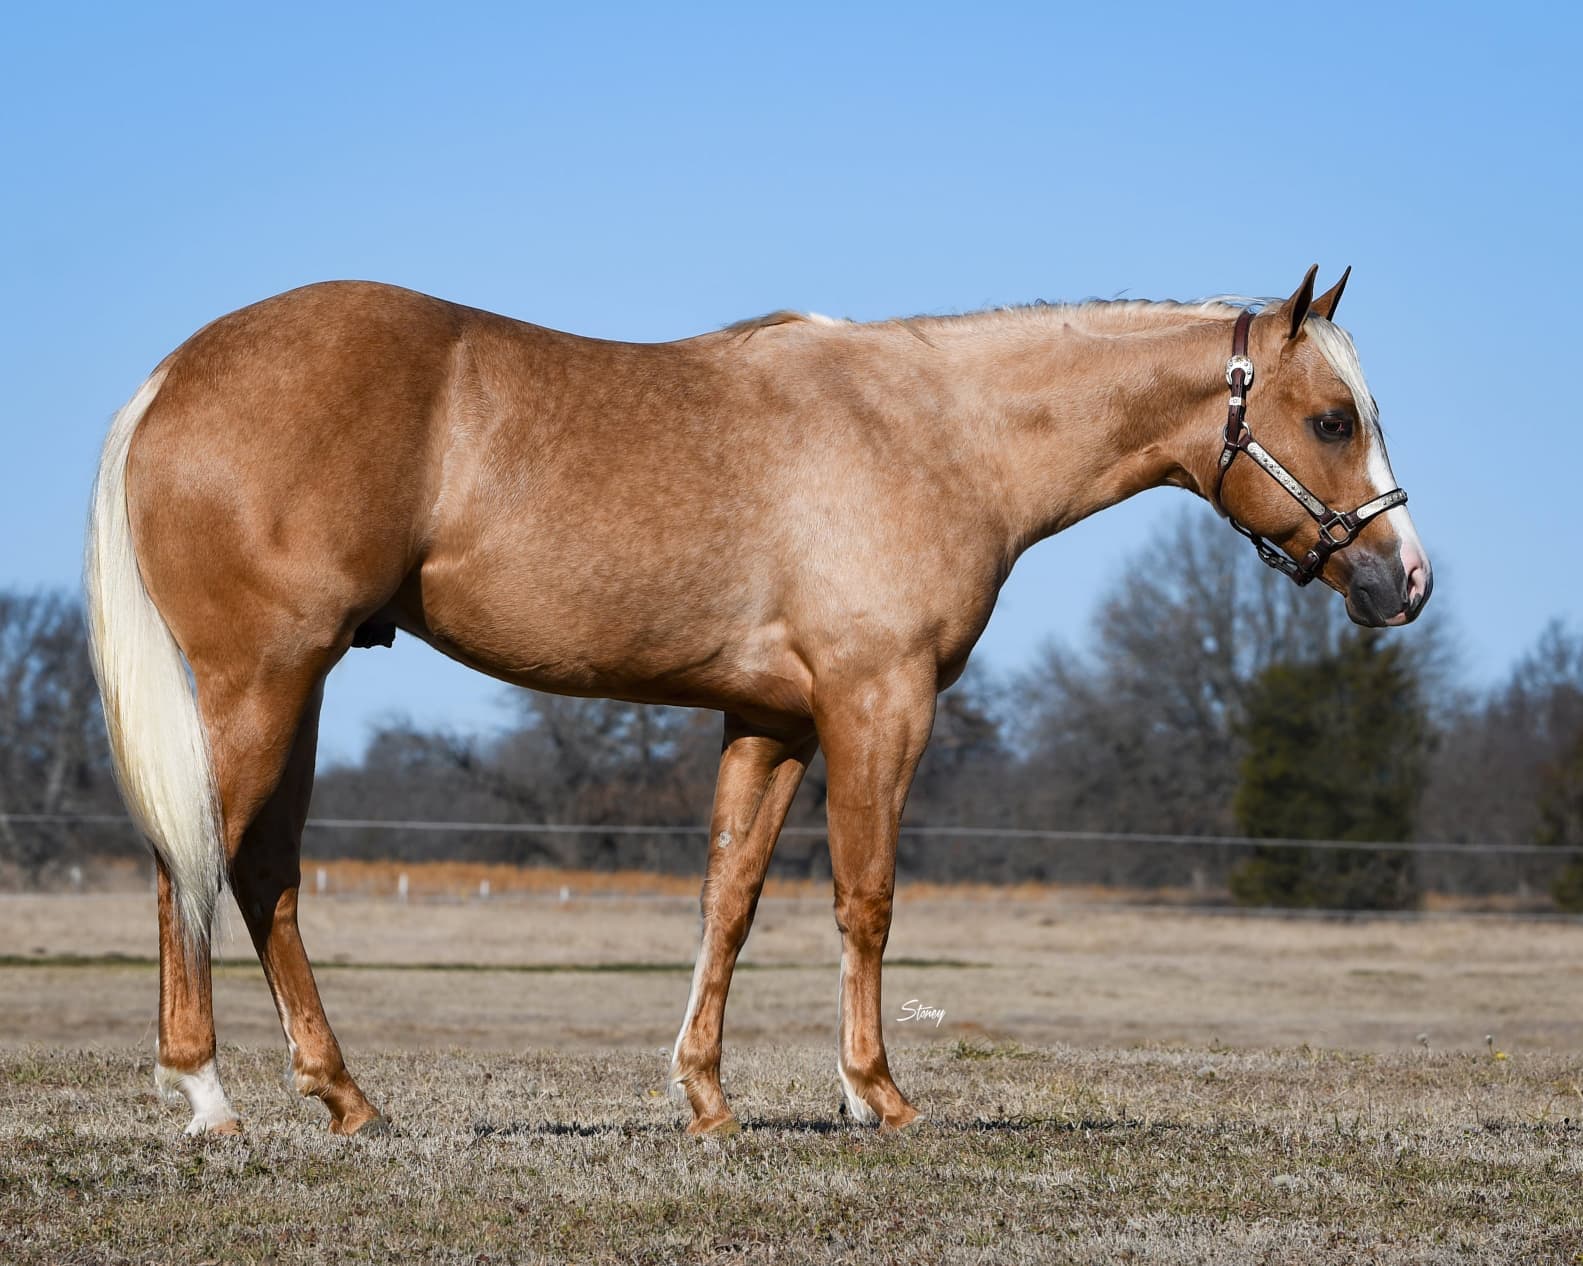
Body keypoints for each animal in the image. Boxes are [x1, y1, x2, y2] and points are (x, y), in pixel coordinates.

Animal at [84, 265, 1431, 1137]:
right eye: (1330, 418)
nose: (1402, 580)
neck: (936, 432)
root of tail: (171, 377)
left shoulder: (771, 723)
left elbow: (726, 904)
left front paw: (706, 1099)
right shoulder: (878, 703)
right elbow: (864, 902)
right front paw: (875, 1096)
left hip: (297, 689)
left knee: (264, 875)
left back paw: (347, 1100)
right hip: (256, 683)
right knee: (194, 861)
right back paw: (205, 1097)